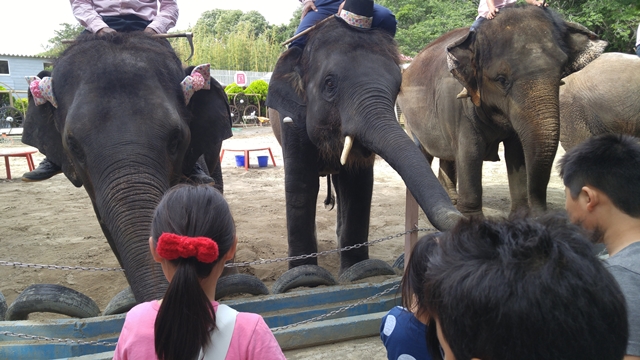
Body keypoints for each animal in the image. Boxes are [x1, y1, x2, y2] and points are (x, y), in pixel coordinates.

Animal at [266, 16, 464, 292]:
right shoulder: (293, 119)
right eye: (329, 83)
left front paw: (359, 272)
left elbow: (358, 186)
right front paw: (302, 279)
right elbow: (301, 186)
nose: (462, 218)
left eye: (397, 86)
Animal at [398, 5, 608, 218]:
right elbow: (470, 152)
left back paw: (452, 202)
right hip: (409, 118)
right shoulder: (458, 106)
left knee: (447, 156)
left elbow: (516, 152)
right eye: (501, 80)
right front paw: (472, 220)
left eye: (560, 74)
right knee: (423, 152)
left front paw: (520, 216)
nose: (541, 212)